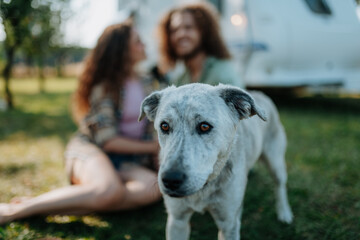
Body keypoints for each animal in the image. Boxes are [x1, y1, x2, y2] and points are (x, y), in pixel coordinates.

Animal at [138, 83, 292, 239]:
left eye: (204, 126)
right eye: (164, 126)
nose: (170, 180)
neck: (203, 188)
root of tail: (260, 93)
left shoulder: (228, 225)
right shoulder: (177, 220)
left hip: (275, 163)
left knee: (280, 186)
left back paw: (284, 213)